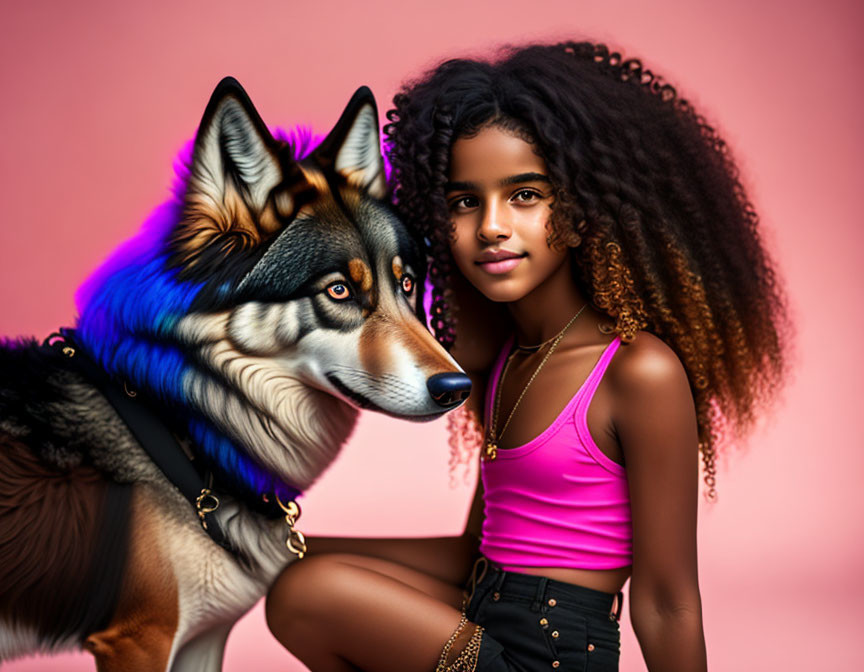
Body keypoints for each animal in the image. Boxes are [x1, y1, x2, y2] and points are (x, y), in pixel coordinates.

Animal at [0, 79, 470, 672]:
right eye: (339, 290)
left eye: (407, 285)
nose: (458, 389)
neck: (182, 427)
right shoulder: (139, 640)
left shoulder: (203, 637)